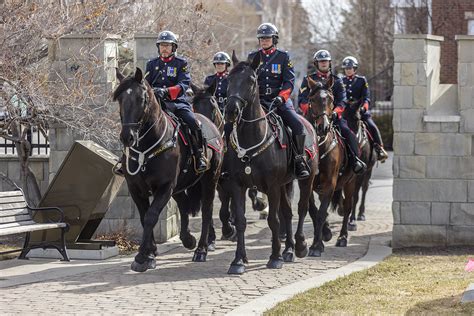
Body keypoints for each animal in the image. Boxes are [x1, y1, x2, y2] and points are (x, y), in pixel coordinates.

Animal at [113, 67, 222, 272]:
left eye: (141, 99)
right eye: (120, 99)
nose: (127, 137)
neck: (146, 147)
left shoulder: (164, 186)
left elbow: (151, 217)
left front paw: (142, 256)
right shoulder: (136, 189)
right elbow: (143, 218)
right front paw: (150, 252)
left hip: (210, 179)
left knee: (207, 210)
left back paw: (201, 249)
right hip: (180, 186)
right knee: (184, 205)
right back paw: (188, 239)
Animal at [223, 51, 318, 274]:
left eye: (251, 80)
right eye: (229, 79)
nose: (231, 110)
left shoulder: (272, 186)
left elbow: (273, 220)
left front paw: (275, 257)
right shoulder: (237, 185)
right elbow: (241, 221)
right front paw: (238, 260)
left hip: (305, 179)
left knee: (301, 209)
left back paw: (300, 246)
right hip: (285, 183)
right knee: (288, 213)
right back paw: (289, 250)